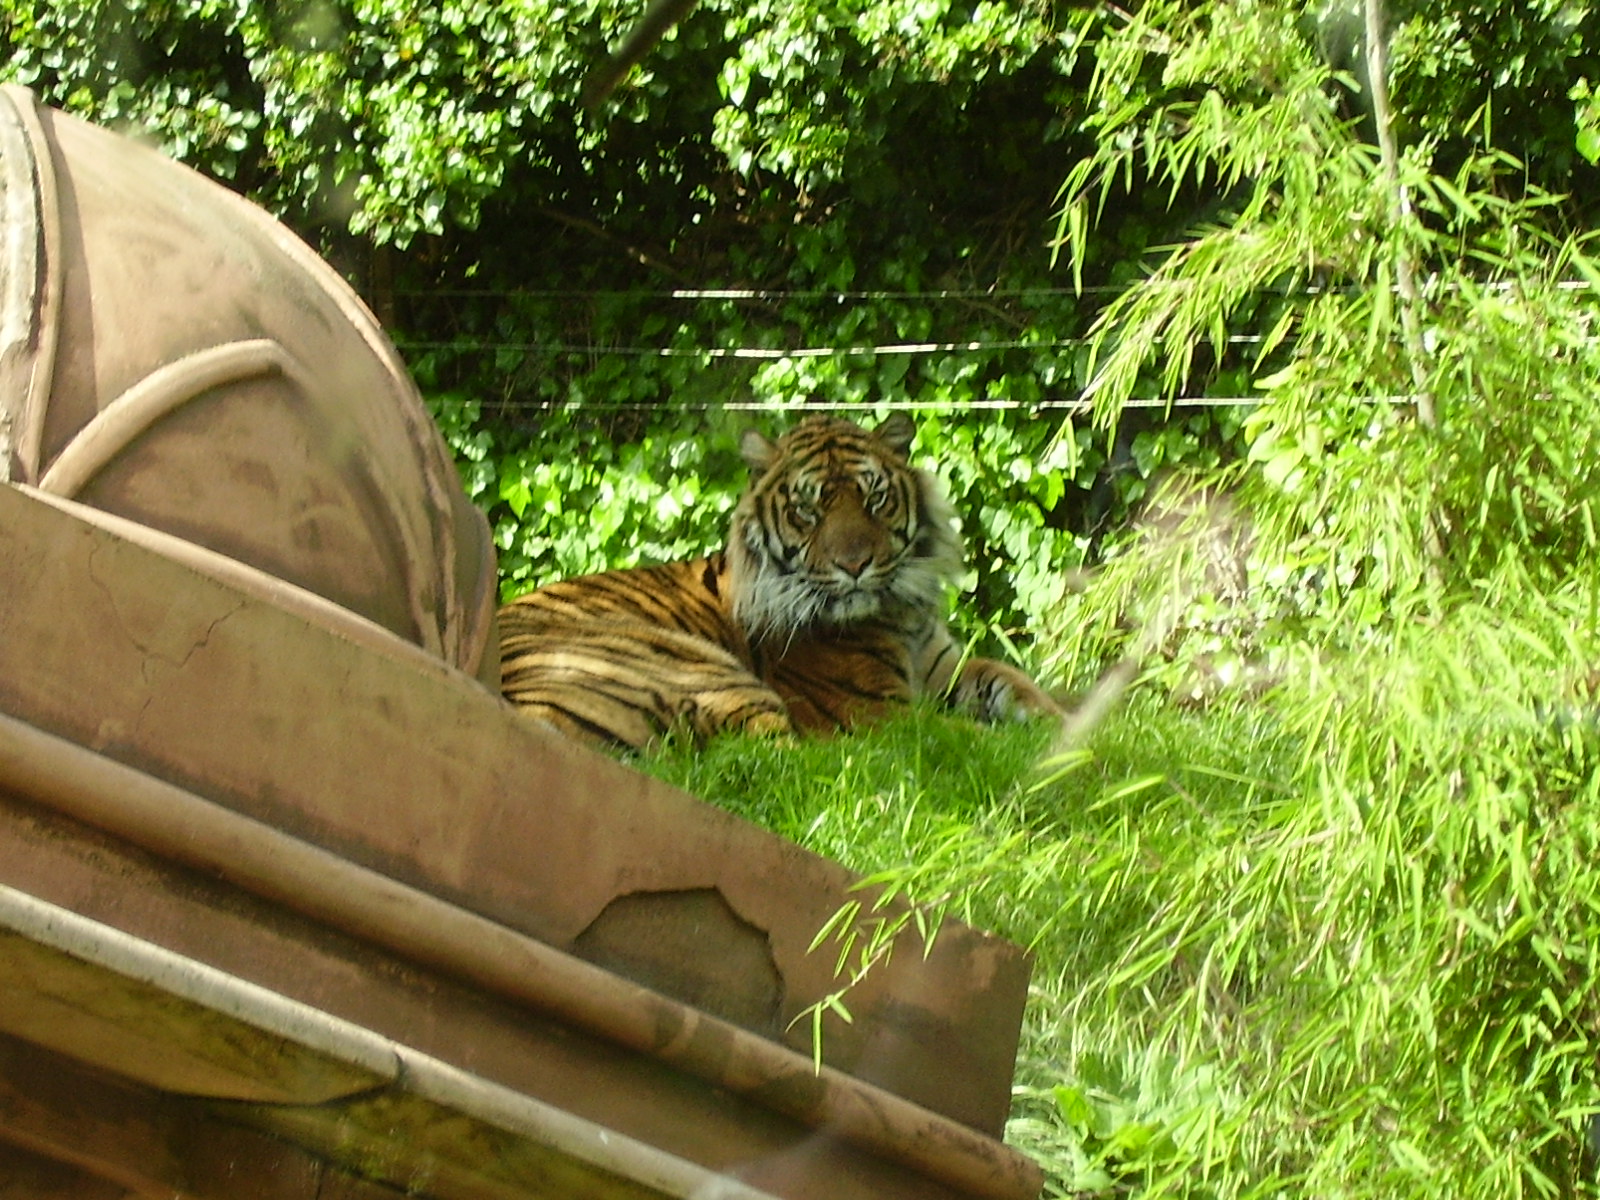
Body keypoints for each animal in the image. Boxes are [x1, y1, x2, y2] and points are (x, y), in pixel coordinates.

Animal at [497, 412, 1062, 749]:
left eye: (875, 499)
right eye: (807, 511)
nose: (854, 565)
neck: (896, 612)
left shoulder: (944, 663)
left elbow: (1017, 684)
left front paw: (1063, 723)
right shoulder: (878, 712)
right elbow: (976, 738)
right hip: (695, 668)